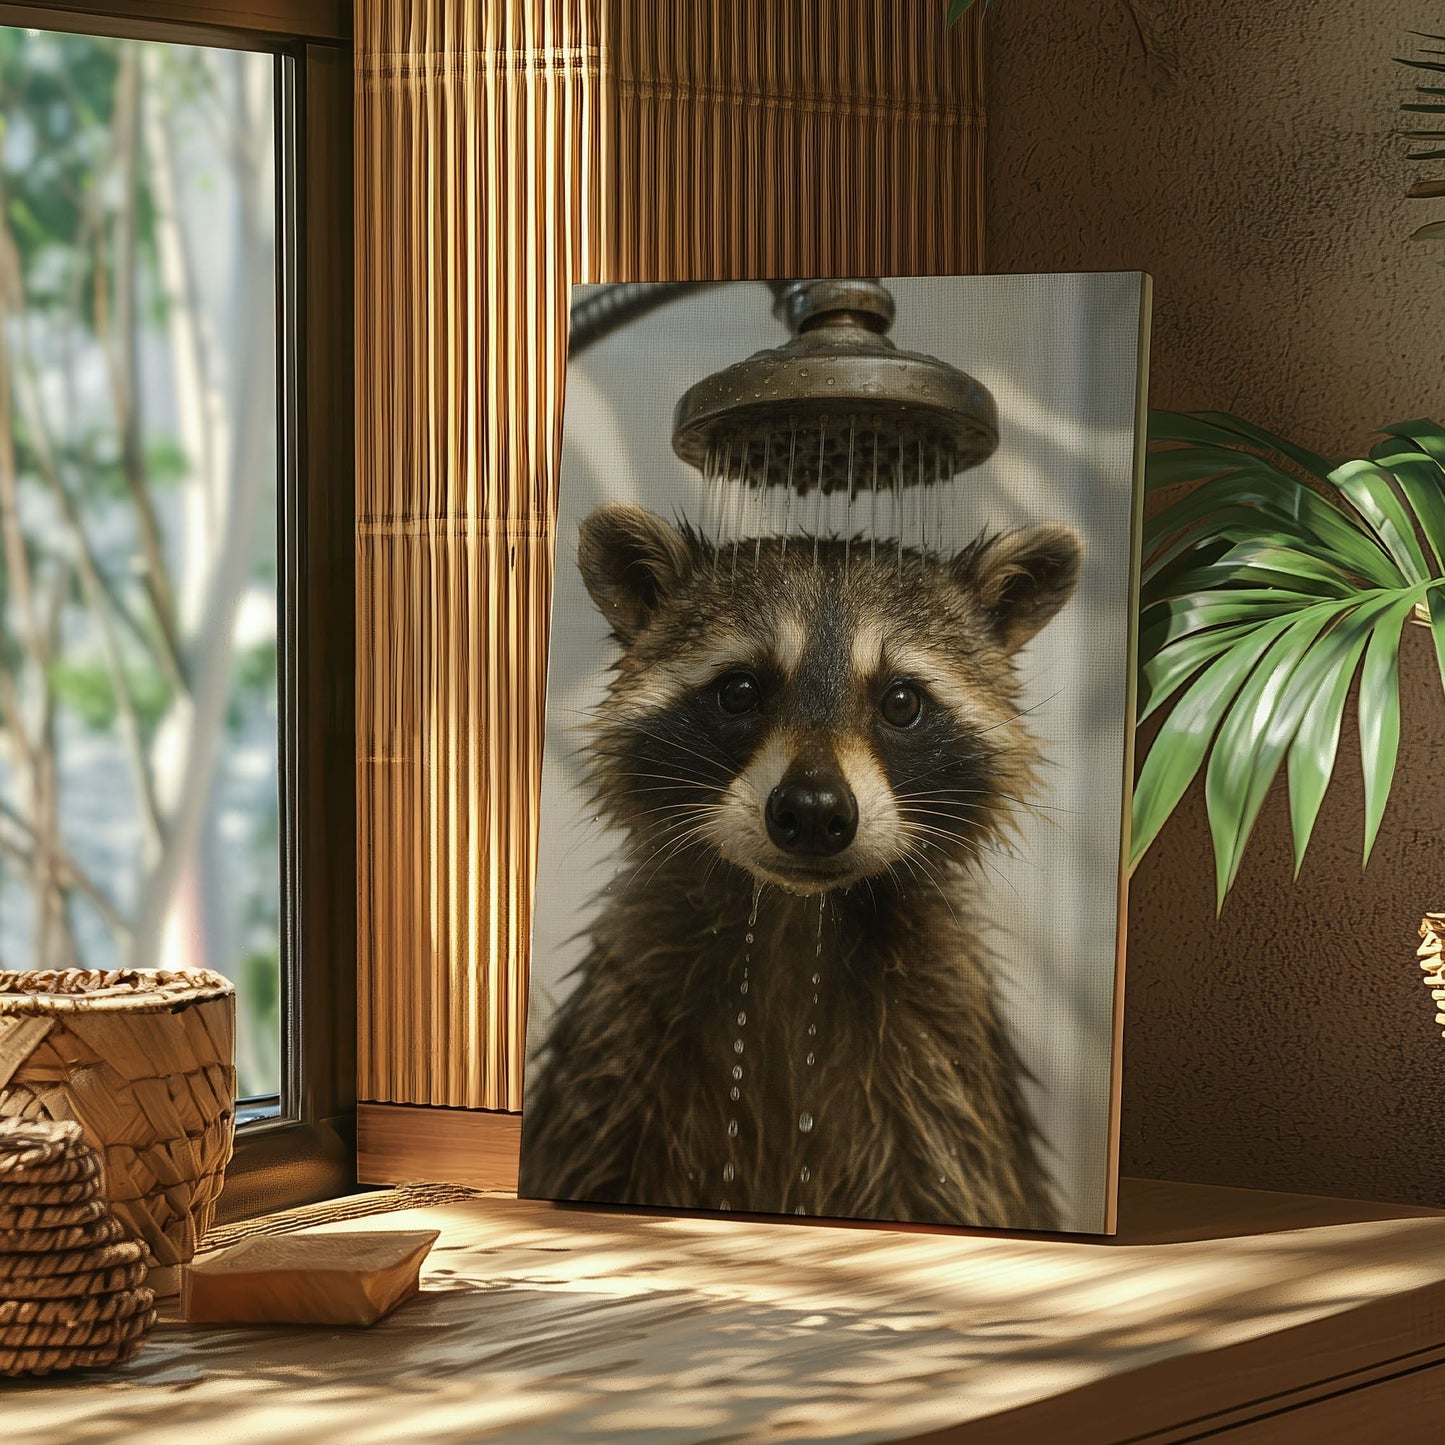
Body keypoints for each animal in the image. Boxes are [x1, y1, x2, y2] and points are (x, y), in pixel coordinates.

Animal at [519, 502, 1082, 1230]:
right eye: (738, 691)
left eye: (901, 701)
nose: (813, 812)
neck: (796, 915)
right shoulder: (619, 1046)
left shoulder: (943, 1069)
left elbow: (958, 1179)